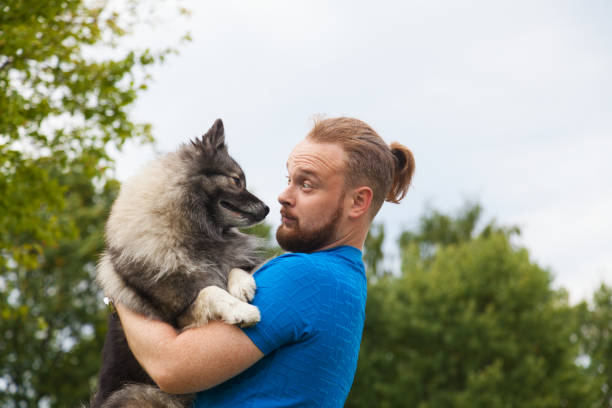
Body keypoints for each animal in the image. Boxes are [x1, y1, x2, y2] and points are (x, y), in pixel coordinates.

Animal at [89, 118, 268, 408]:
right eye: (236, 180)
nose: (267, 209)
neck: (195, 233)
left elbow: (234, 266)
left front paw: (242, 285)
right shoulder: (178, 316)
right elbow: (210, 291)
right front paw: (241, 310)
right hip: (141, 393)